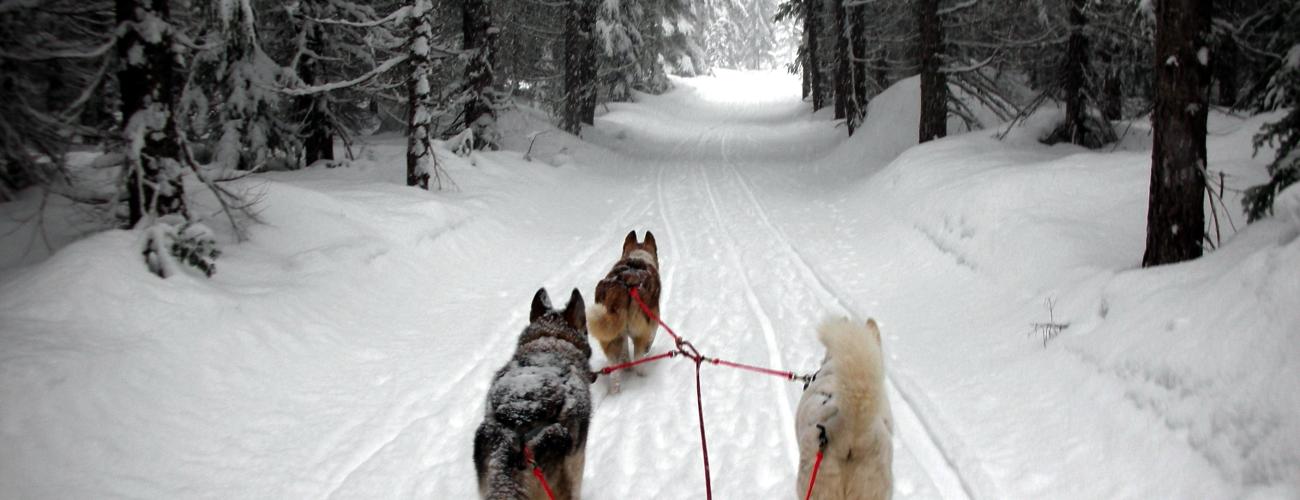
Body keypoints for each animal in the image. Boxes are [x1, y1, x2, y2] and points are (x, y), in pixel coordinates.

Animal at [587, 231, 660, 394]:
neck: (638, 257)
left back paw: (617, 387)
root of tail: (621, 287)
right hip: (638, 332)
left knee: (614, 371)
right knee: (638, 359)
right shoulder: (653, 318)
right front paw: (648, 348)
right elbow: (652, 335)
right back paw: (643, 376)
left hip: (610, 336)